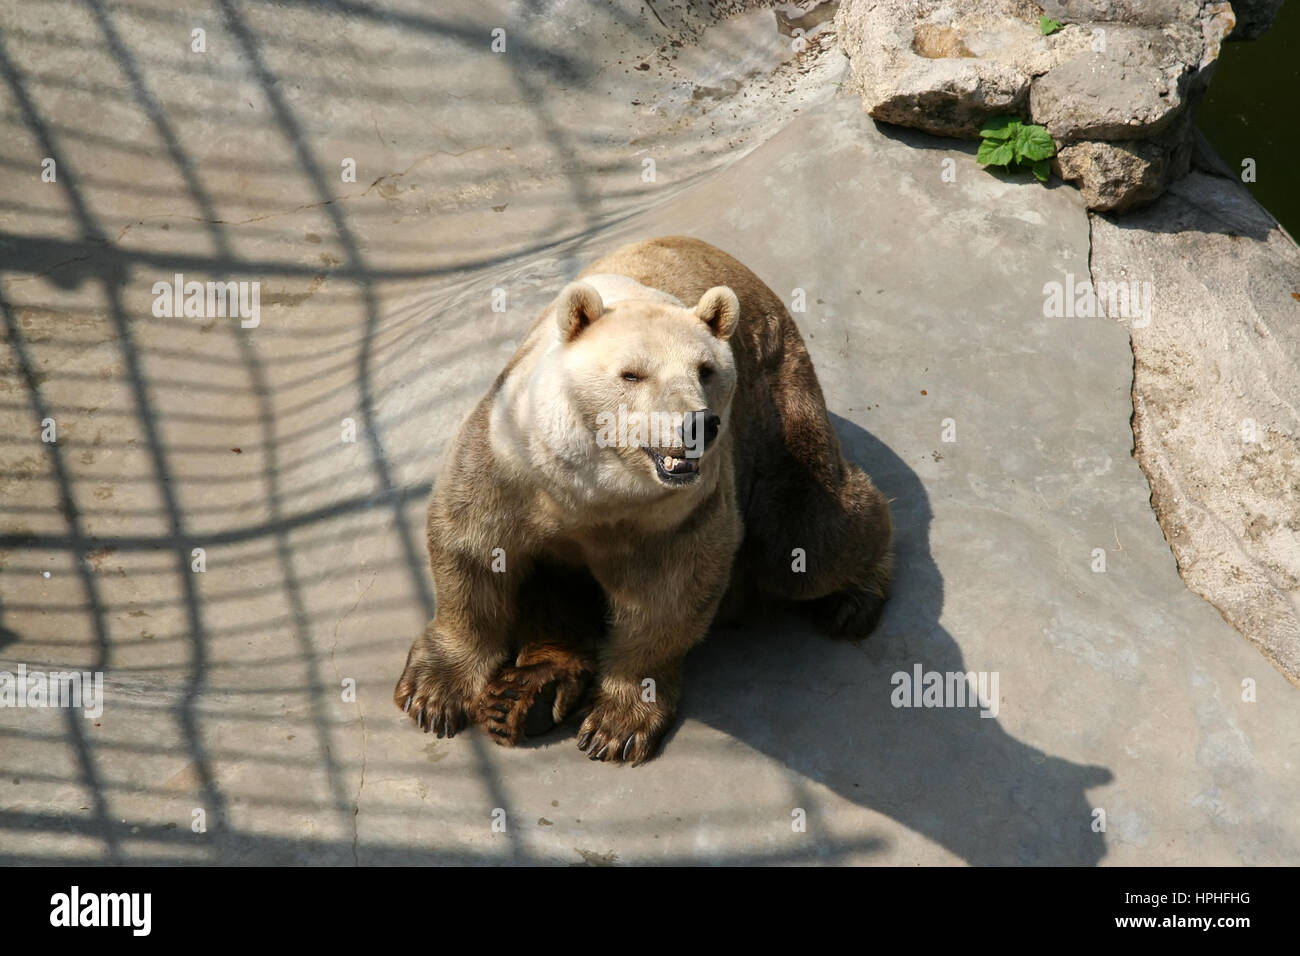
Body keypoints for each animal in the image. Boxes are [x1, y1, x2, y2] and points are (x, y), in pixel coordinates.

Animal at [390, 235, 889, 764]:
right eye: (632, 374)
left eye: (705, 370)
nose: (698, 425)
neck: (593, 486)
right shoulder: (510, 461)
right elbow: (475, 551)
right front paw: (433, 694)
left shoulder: (677, 514)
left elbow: (666, 595)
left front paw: (617, 725)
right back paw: (524, 697)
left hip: (778, 411)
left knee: (805, 540)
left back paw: (855, 601)